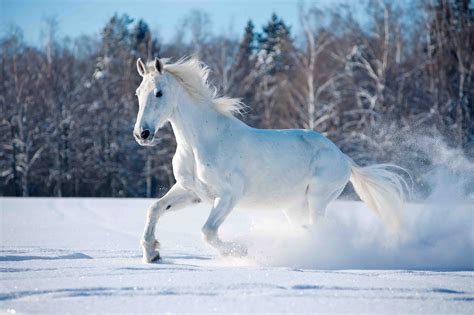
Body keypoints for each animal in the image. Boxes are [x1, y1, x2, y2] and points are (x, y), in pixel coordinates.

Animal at [132, 57, 408, 264]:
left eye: (159, 93)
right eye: (138, 93)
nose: (142, 134)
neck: (201, 143)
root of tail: (344, 158)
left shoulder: (228, 196)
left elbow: (208, 232)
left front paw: (242, 251)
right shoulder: (192, 192)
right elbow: (154, 209)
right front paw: (152, 254)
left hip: (318, 199)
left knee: (318, 229)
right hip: (293, 207)